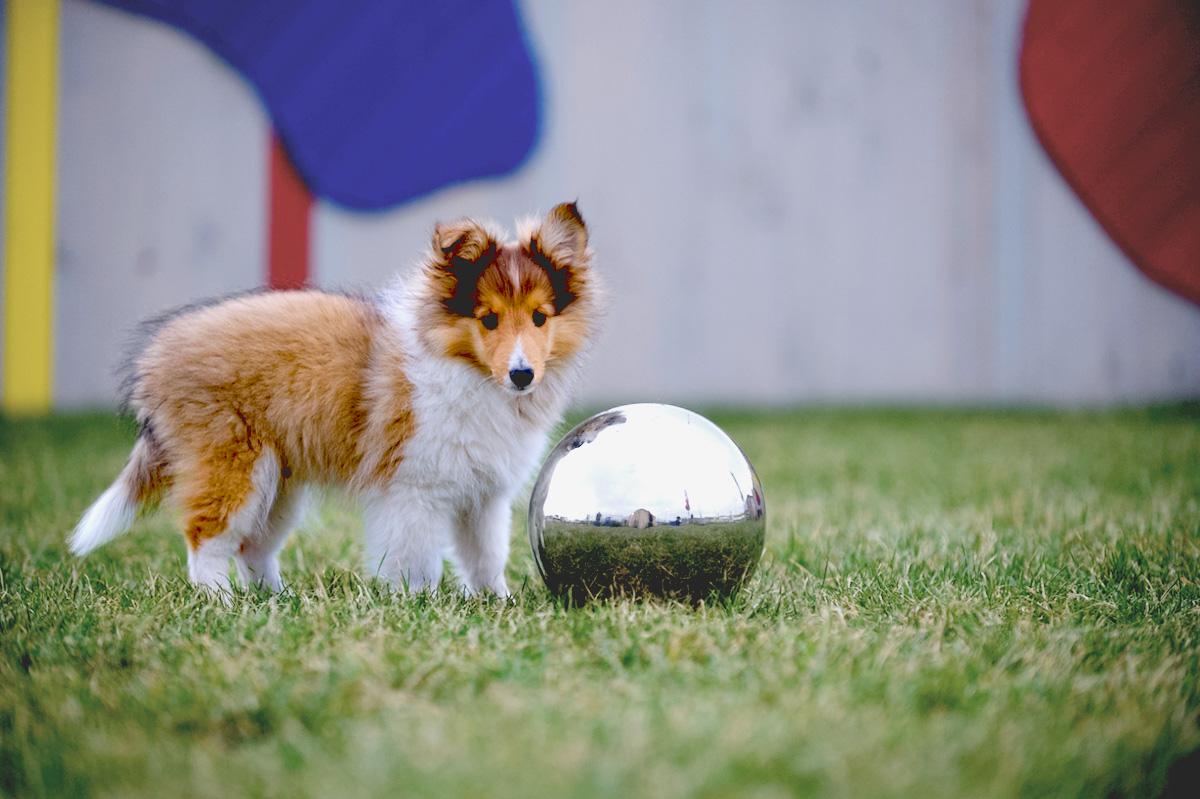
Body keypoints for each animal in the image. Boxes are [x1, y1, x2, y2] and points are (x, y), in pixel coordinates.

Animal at [68, 202, 600, 595]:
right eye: (488, 319)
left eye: (540, 317)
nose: (522, 375)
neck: (469, 372)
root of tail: (154, 359)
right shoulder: (414, 488)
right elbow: (417, 559)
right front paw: (417, 605)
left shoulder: (483, 495)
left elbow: (485, 556)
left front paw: (497, 602)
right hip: (232, 462)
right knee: (208, 537)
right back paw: (219, 601)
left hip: (279, 483)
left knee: (253, 548)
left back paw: (274, 600)